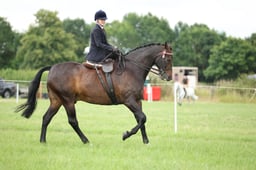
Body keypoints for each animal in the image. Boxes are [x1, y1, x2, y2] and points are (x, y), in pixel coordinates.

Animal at [15, 42, 172, 143]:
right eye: (168, 59)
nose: (169, 77)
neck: (132, 70)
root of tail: (52, 67)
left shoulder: (137, 101)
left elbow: (141, 119)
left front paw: (146, 141)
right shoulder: (129, 101)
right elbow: (142, 118)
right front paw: (126, 135)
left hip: (56, 101)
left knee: (46, 118)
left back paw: (43, 141)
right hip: (67, 100)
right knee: (72, 121)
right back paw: (86, 140)